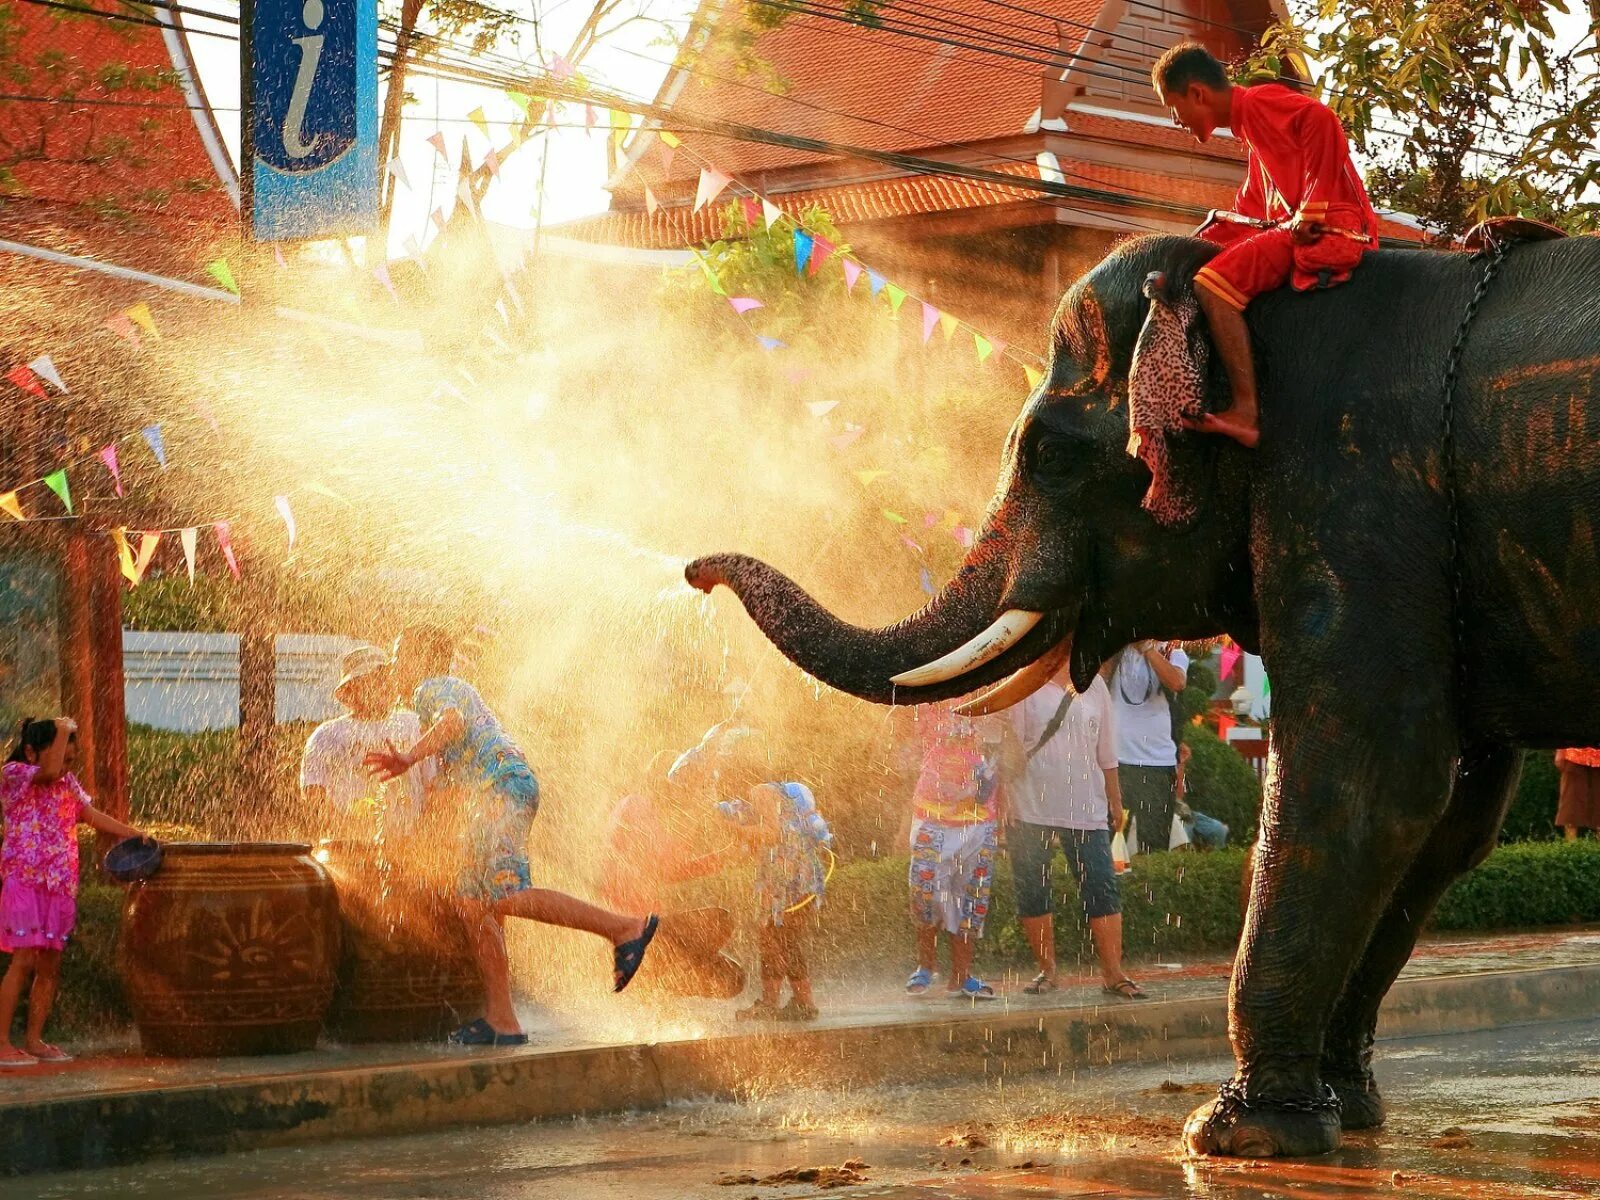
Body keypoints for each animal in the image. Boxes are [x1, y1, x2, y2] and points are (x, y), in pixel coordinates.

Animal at [684, 230, 1600, 1158]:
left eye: (1049, 456)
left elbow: (1369, 787)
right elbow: (1450, 820)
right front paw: (1342, 1111)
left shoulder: (1356, 502)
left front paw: (1235, 1136)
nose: (695, 571)